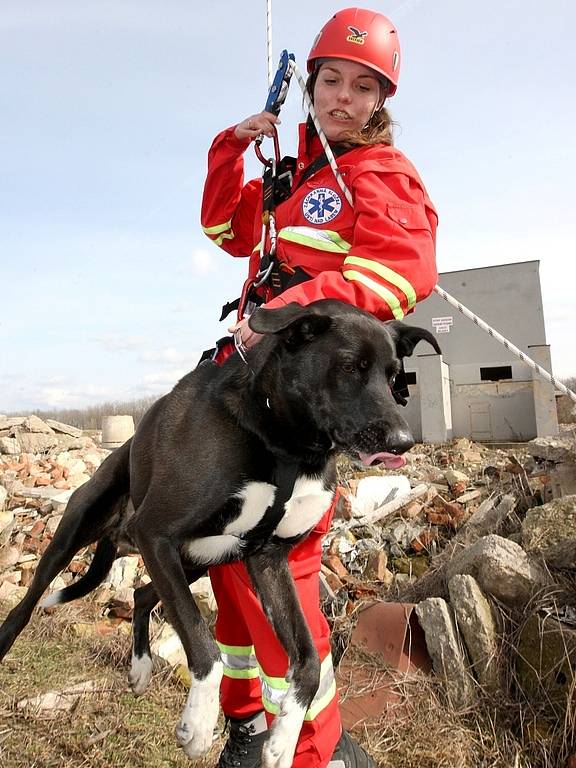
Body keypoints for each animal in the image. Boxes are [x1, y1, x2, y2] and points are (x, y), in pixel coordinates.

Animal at [0, 300, 438, 768]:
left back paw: (140, 666)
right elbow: (203, 644)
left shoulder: (267, 560)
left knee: (141, 594)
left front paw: (283, 741)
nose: (403, 442)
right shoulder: (155, 533)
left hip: (196, 559)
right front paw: (198, 724)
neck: (283, 444)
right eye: (351, 367)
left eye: (394, 376)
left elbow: (307, 662)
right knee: (25, 608)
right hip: (85, 535)